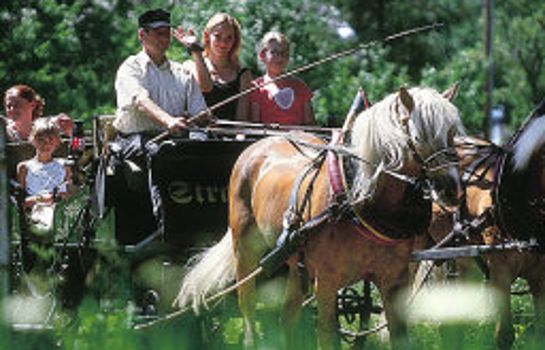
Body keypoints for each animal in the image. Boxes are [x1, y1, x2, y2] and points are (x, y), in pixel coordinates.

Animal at [174, 86, 464, 348]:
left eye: (452, 134)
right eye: (418, 136)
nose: (452, 190)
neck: (356, 201)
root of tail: (257, 145)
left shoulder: (395, 281)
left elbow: (400, 337)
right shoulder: (327, 281)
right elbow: (326, 336)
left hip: (295, 266)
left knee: (287, 317)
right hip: (245, 252)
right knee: (248, 310)